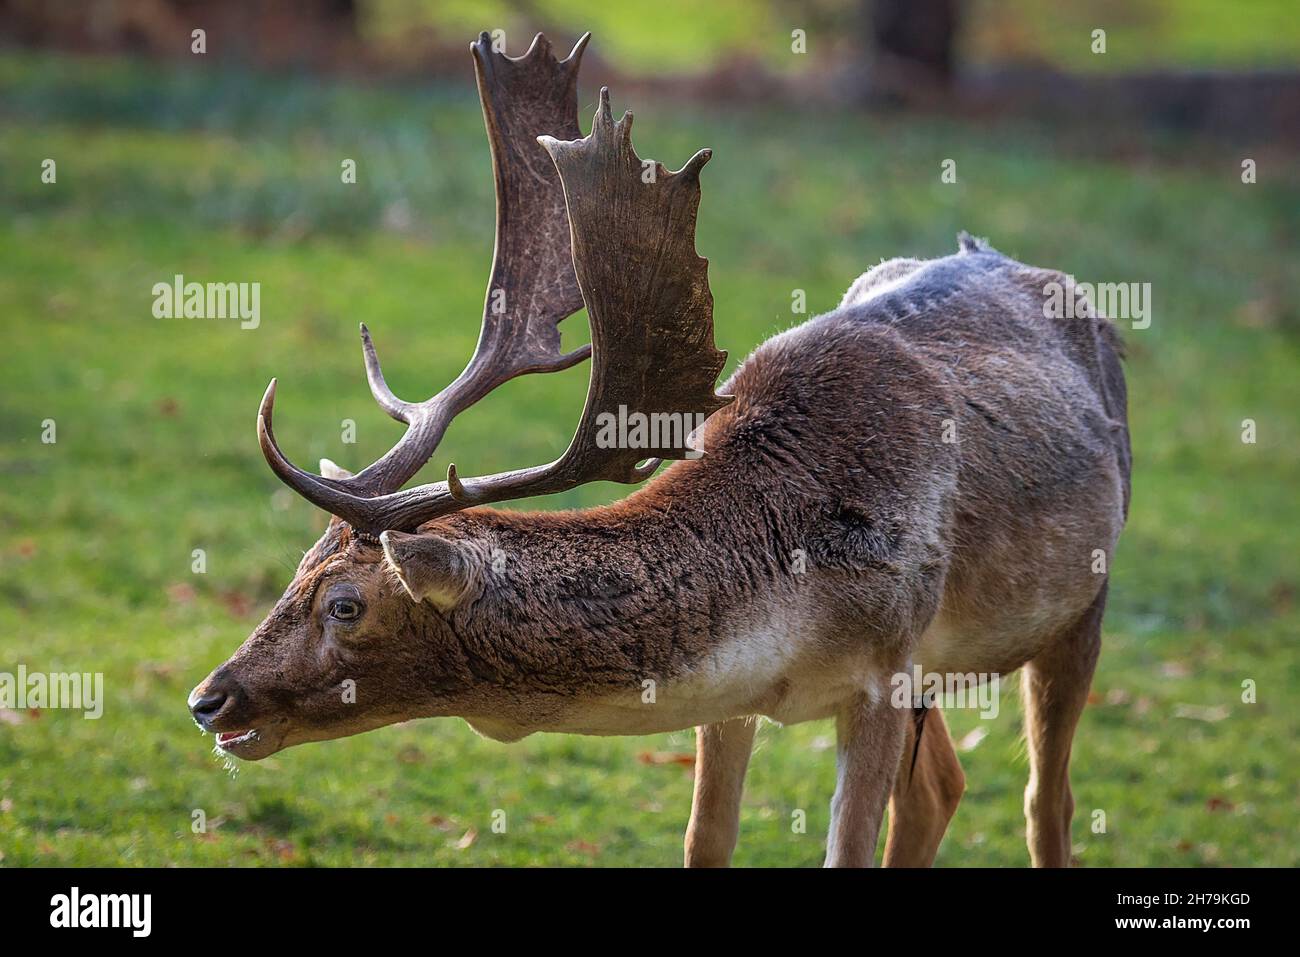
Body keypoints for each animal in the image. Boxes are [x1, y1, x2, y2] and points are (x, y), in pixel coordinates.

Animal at [188, 31, 1133, 868]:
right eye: (295, 573)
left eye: (345, 603)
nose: (208, 697)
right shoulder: (736, 694)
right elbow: (705, 840)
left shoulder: (884, 673)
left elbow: (852, 848)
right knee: (943, 787)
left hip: (1082, 599)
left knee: (1047, 799)